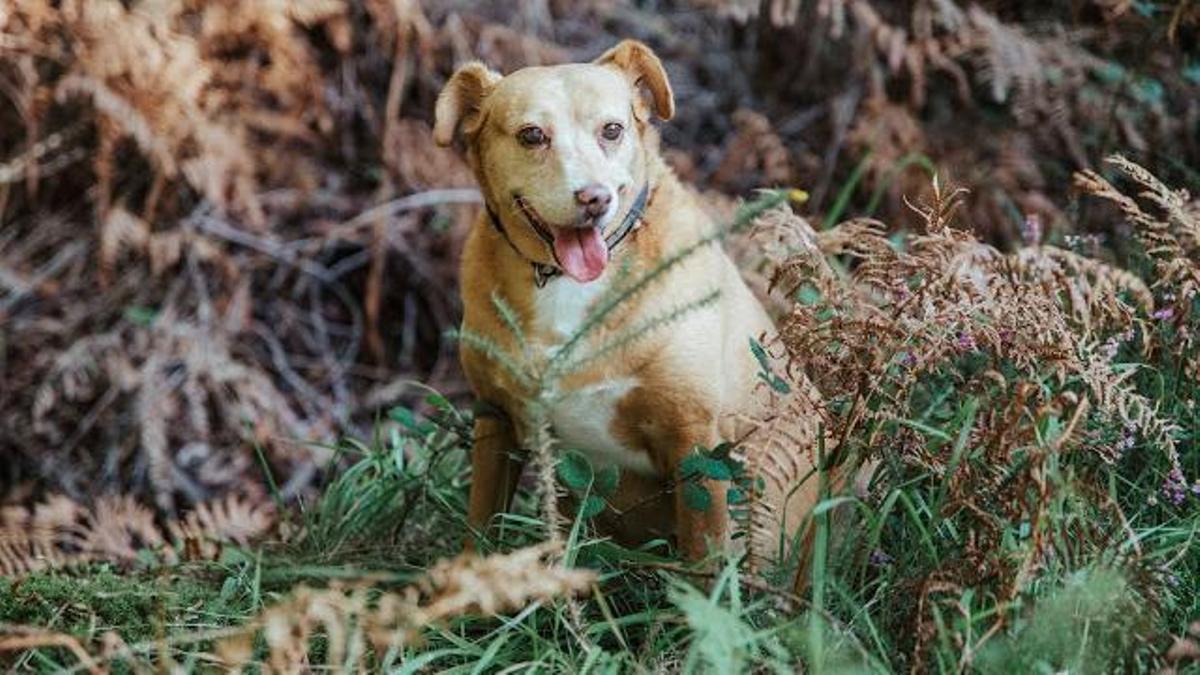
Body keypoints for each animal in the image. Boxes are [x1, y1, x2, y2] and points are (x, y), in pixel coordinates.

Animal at [434, 40, 825, 566]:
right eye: (532, 135)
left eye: (612, 130)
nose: (594, 198)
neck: (563, 283)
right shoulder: (495, 416)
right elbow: (480, 524)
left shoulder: (695, 444)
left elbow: (703, 563)